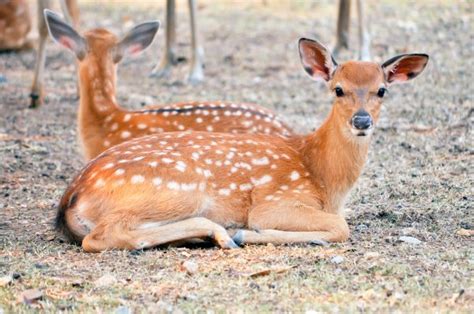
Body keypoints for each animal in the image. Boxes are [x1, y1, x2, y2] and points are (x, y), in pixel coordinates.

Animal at [56, 37, 430, 253]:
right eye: (338, 89)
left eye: (382, 90)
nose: (362, 121)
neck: (324, 179)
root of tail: (71, 197)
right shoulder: (276, 200)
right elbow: (340, 228)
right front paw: (248, 234)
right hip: (178, 188)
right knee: (100, 236)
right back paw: (222, 233)